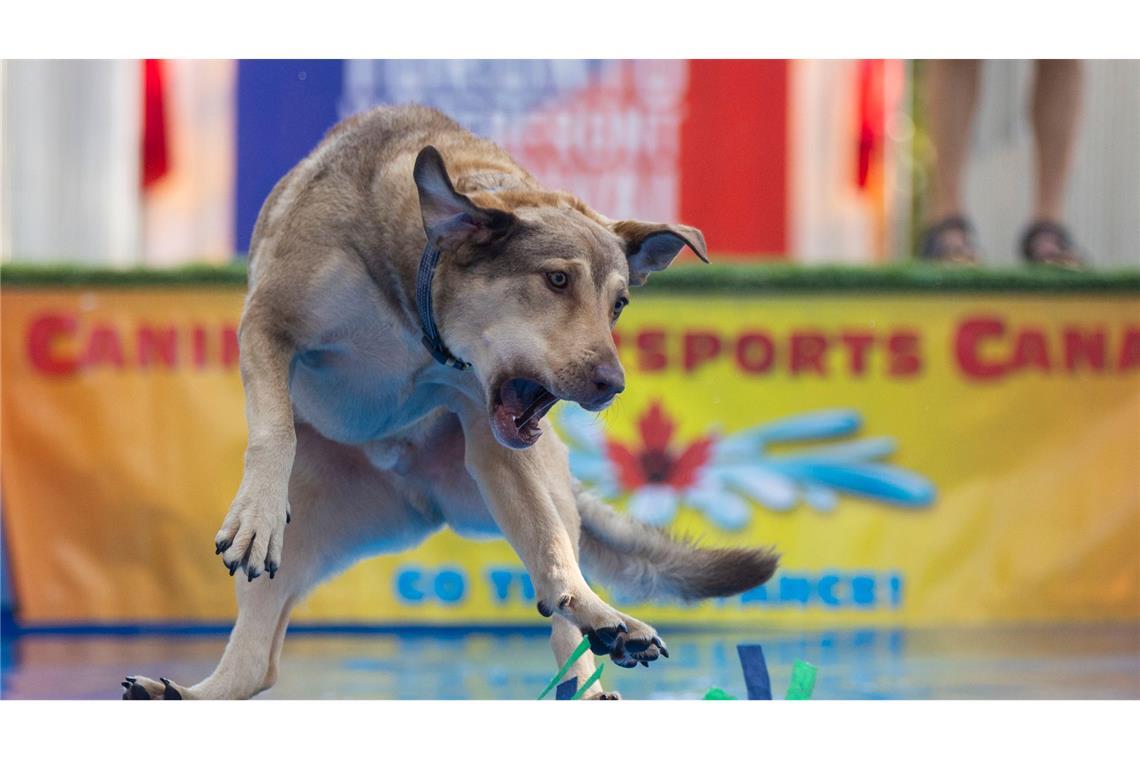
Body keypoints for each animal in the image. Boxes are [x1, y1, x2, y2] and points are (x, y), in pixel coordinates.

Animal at [124, 105, 779, 701]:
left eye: (618, 304)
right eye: (556, 280)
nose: (611, 384)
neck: (416, 308)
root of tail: (417, 490)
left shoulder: (492, 430)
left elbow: (551, 550)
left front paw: (600, 619)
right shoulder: (267, 323)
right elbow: (274, 430)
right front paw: (257, 513)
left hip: (507, 480)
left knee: (558, 568)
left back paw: (601, 639)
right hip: (311, 518)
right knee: (255, 662)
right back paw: (182, 693)